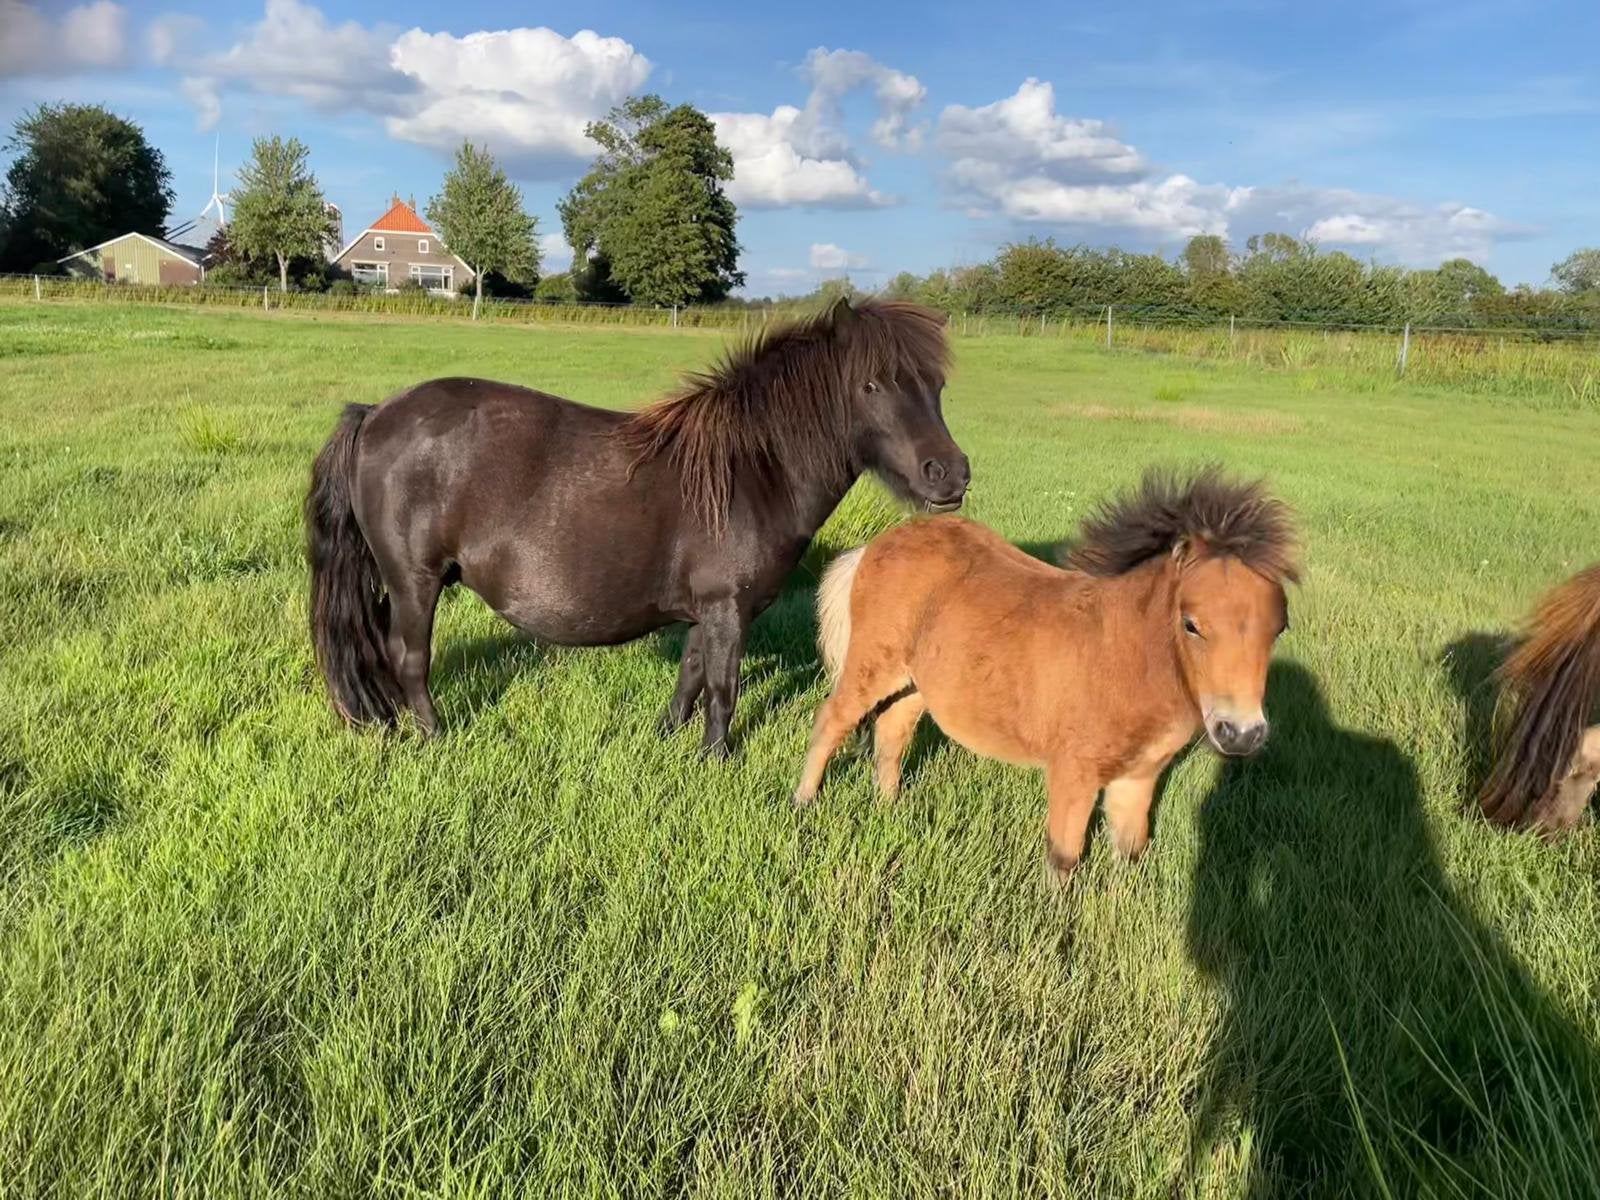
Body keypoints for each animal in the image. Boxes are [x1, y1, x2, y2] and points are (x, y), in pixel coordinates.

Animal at [304, 297, 969, 753]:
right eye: (871, 384)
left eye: (938, 385)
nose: (950, 474)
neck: (752, 471)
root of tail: (376, 414)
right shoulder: (728, 610)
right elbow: (722, 690)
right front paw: (716, 761)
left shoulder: (710, 611)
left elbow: (691, 677)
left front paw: (667, 741)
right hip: (414, 581)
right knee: (408, 657)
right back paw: (433, 736)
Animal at [792, 468, 1299, 879]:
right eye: (1191, 624)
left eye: (1280, 626)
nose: (1242, 734)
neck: (1127, 659)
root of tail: (874, 546)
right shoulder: (1073, 771)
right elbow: (1064, 857)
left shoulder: (1139, 778)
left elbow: (1129, 854)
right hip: (872, 663)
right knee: (833, 720)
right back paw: (804, 801)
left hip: (916, 684)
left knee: (892, 731)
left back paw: (890, 808)